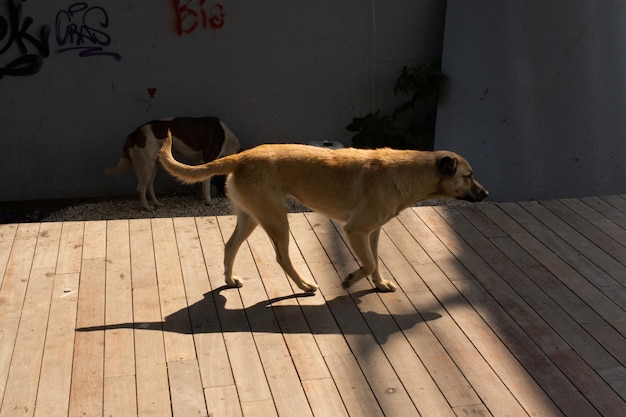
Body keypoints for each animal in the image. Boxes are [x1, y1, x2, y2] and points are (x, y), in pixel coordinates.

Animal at [105, 115, 239, 210]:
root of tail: (135, 133)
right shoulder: (207, 160)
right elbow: (206, 187)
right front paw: (209, 202)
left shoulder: (198, 162)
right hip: (147, 166)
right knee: (141, 189)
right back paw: (148, 208)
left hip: (153, 165)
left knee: (149, 186)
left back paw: (157, 203)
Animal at [157, 133, 488, 292]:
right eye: (469, 175)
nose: (486, 194)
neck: (407, 172)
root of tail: (242, 156)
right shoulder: (355, 230)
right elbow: (368, 263)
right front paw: (350, 280)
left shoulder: (373, 232)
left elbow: (375, 261)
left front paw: (379, 284)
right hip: (277, 220)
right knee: (282, 258)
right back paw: (304, 285)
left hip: (250, 217)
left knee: (229, 246)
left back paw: (229, 279)